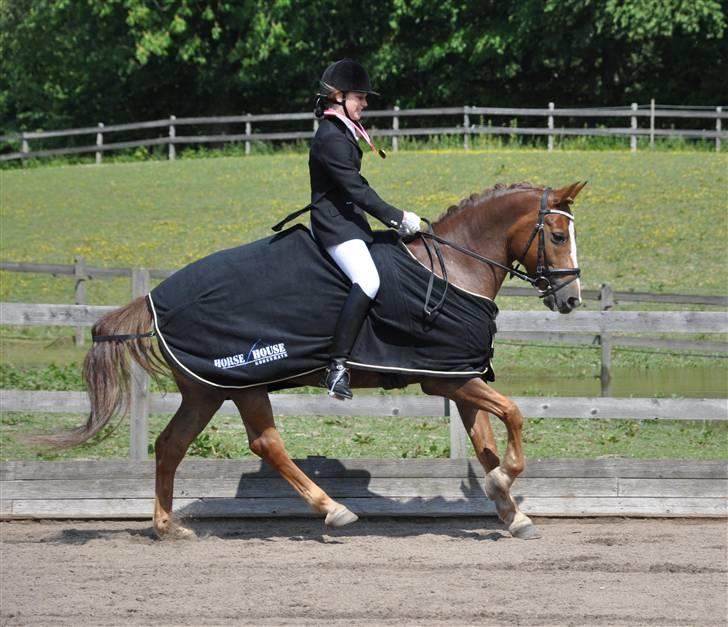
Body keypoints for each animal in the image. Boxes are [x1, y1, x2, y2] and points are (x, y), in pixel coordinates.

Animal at [41, 181, 586, 541]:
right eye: (558, 236)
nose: (571, 300)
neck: (454, 268)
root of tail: (155, 299)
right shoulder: (445, 381)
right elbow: (513, 415)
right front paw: (503, 487)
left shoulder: (459, 375)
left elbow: (488, 442)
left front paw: (510, 511)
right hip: (245, 384)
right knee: (266, 444)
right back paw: (333, 509)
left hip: (207, 389)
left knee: (170, 445)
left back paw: (166, 527)